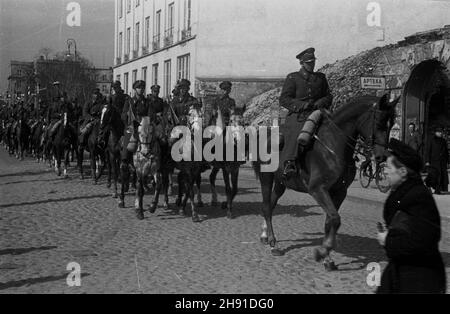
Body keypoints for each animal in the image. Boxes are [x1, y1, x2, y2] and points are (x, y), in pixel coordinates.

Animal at [253, 94, 398, 272]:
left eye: (392, 123)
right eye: (378, 122)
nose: (382, 156)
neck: (334, 146)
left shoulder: (339, 191)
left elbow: (330, 221)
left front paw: (327, 257)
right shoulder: (318, 189)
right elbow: (335, 219)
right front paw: (323, 252)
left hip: (281, 182)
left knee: (271, 205)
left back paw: (265, 235)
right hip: (266, 177)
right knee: (266, 207)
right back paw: (273, 244)